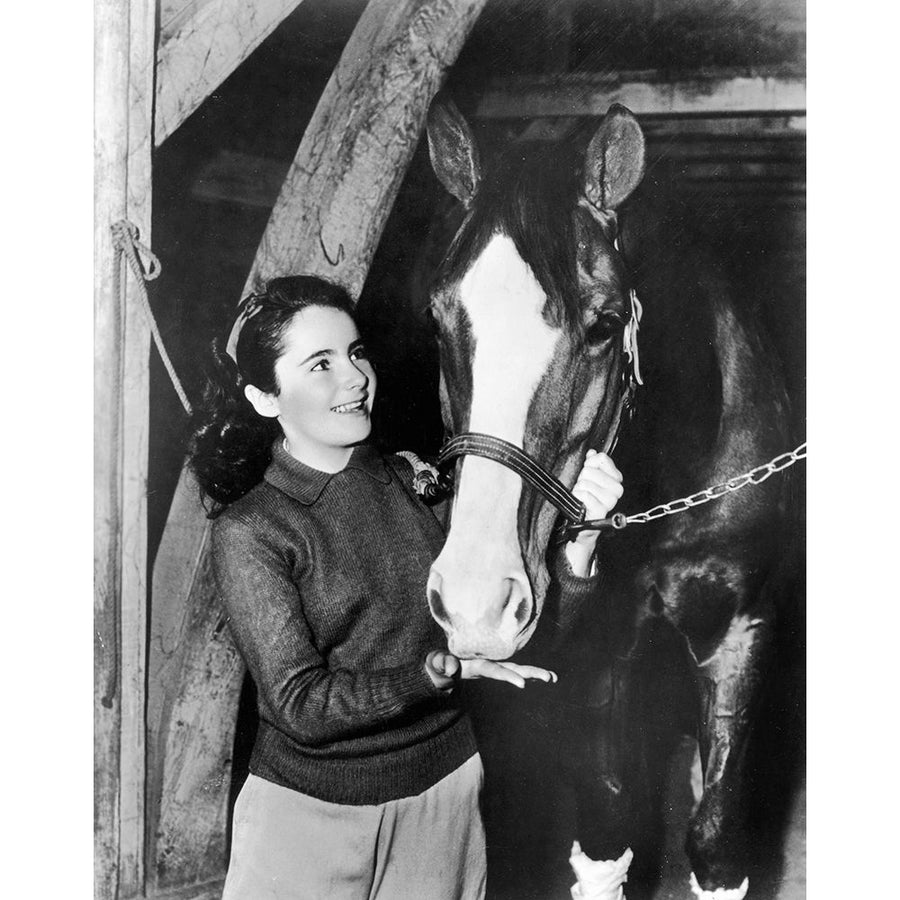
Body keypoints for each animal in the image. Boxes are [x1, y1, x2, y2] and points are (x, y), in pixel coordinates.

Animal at [418, 102, 800, 896]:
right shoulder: (593, 662)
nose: (475, 605)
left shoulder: (741, 629)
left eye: (602, 323)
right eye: (438, 321)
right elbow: (605, 832)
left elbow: (715, 839)